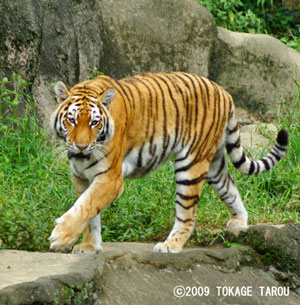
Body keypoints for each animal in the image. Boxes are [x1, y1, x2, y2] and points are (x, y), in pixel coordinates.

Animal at [49, 70, 288, 252]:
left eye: (94, 123)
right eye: (71, 120)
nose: (81, 146)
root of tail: (224, 91)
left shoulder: (110, 178)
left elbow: (86, 205)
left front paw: (60, 236)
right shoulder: (81, 178)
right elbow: (90, 214)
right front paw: (89, 246)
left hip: (191, 164)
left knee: (188, 214)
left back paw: (169, 245)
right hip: (213, 164)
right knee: (230, 186)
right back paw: (239, 222)